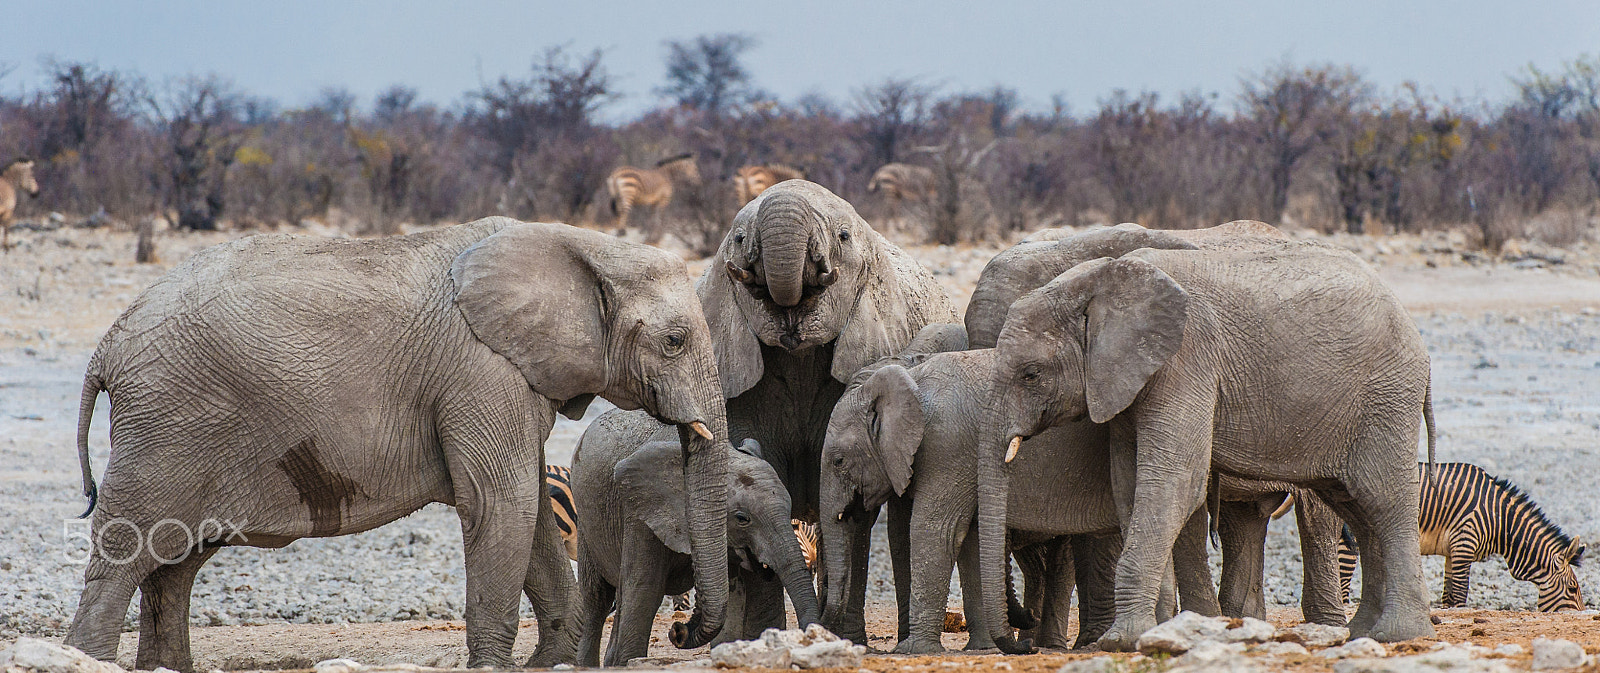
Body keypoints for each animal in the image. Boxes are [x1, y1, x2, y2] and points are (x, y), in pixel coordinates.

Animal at [64, 218, 735, 671]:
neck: (580, 245)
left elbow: (531, 510)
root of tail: (106, 348)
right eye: (675, 341)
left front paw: (553, 662)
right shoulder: (481, 371)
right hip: (167, 422)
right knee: (128, 552)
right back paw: (83, 655)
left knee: (174, 562)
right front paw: (496, 666)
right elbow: (500, 502)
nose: (683, 633)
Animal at [571, 433, 820, 666]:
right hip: (586, 523)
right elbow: (644, 589)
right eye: (742, 519)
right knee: (597, 599)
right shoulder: (641, 516)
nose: (677, 630)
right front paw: (626, 662)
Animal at [601, 180, 957, 645]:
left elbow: (850, 500)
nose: (678, 629)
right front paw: (761, 633)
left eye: (844, 236)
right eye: (737, 238)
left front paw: (842, 637)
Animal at [974, 235, 1436, 653]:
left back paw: (1397, 634)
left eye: (1031, 374)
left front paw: (1121, 641)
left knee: (1383, 500)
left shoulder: (1185, 361)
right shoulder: (1125, 382)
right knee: (1355, 507)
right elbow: (1129, 484)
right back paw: (1363, 633)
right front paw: (1150, 633)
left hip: (1386, 397)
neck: (1100, 283)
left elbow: (1174, 482)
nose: (1021, 643)